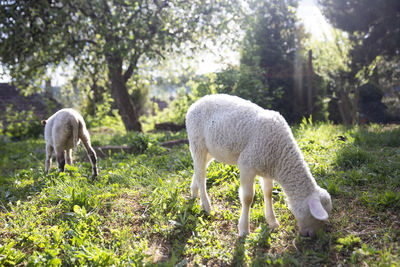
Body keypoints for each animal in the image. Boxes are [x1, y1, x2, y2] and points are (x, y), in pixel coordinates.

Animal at [186, 95, 332, 238]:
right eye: (316, 218)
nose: (311, 235)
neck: (281, 157)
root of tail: (194, 104)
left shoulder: (267, 167)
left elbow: (268, 192)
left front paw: (272, 221)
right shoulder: (247, 165)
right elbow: (247, 198)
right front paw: (244, 230)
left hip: (211, 150)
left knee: (199, 168)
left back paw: (194, 192)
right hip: (197, 141)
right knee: (201, 175)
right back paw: (206, 206)